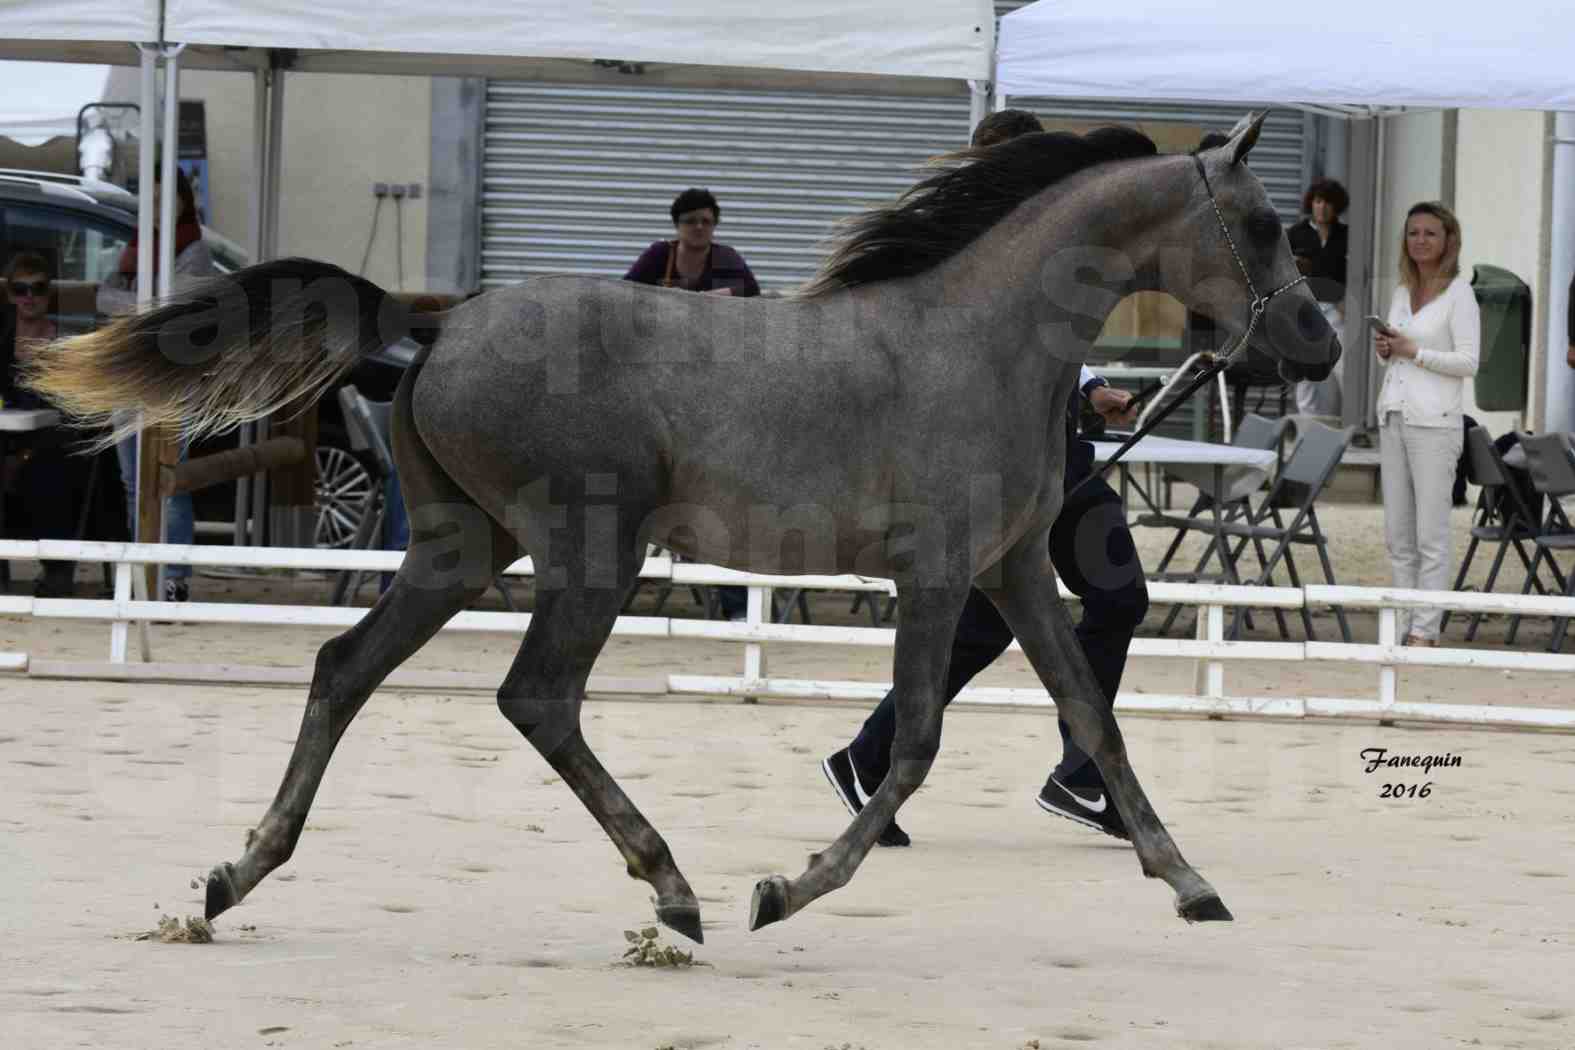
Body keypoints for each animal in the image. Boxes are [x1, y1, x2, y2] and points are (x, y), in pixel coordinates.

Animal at [27, 110, 1329, 938]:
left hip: (463, 549)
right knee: (536, 698)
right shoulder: (937, 575)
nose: (1314, 343)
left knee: (345, 668)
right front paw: (787, 891)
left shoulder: (1010, 574)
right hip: (586, 553)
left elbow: (1097, 720)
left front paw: (1190, 883)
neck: (980, 338)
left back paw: (237, 877)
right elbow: (915, 741)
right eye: (1268, 225)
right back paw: (677, 890)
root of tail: (435, 322)